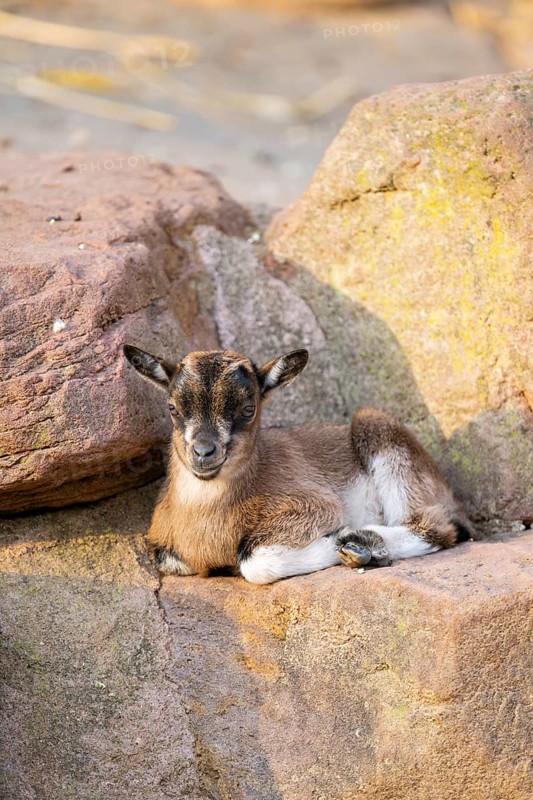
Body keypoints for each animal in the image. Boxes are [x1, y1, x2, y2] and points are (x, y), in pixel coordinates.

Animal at [123, 345, 473, 584]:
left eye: (249, 409)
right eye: (172, 407)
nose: (204, 452)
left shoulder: (316, 505)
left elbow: (253, 560)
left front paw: (341, 538)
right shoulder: (167, 551)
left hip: (382, 436)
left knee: (437, 527)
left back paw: (362, 542)